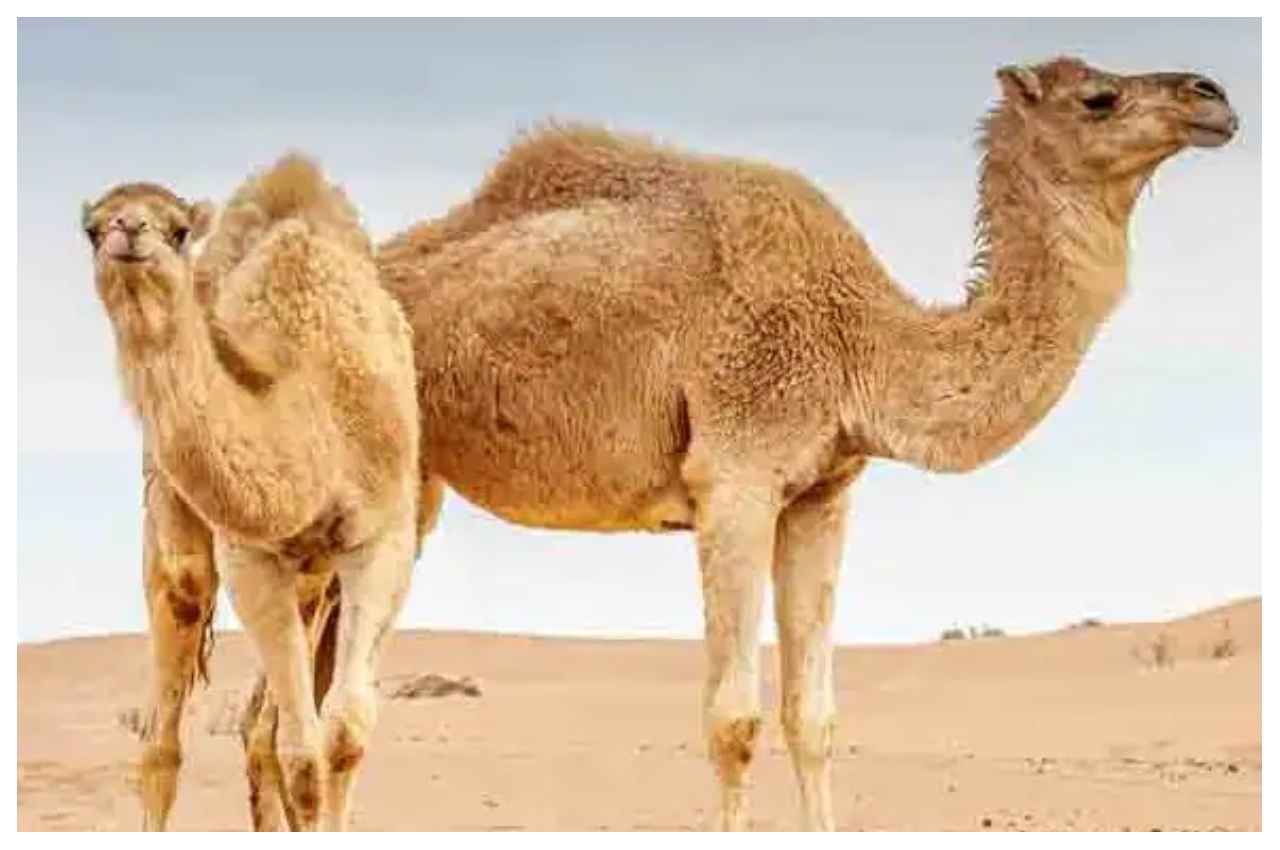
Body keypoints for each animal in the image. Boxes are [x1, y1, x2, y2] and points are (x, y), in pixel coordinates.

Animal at [82, 155, 419, 831]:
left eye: (178, 228)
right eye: (92, 228)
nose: (128, 231)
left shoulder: (382, 536)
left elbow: (341, 737)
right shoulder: (250, 554)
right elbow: (302, 755)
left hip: (316, 576)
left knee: (263, 731)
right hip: (172, 510)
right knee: (167, 724)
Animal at [361, 56, 1236, 830]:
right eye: (1099, 98)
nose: (1213, 97)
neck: (860, 343)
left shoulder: (821, 495)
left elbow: (811, 719)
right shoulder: (735, 478)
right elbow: (732, 722)